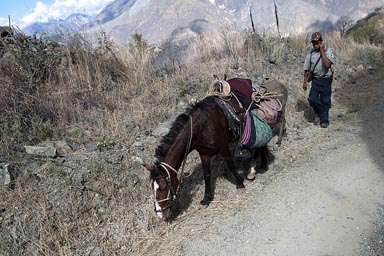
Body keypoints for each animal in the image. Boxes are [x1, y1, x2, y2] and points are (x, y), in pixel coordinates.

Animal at [145, 80, 288, 220]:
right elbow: (207, 174)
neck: (200, 126)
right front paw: (207, 197)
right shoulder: (203, 153)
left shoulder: (223, 147)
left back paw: (260, 166)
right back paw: (259, 165)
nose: (160, 214)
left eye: (163, 187)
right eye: (152, 188)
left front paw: (239, 183)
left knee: (262, 144)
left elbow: (230, 165)